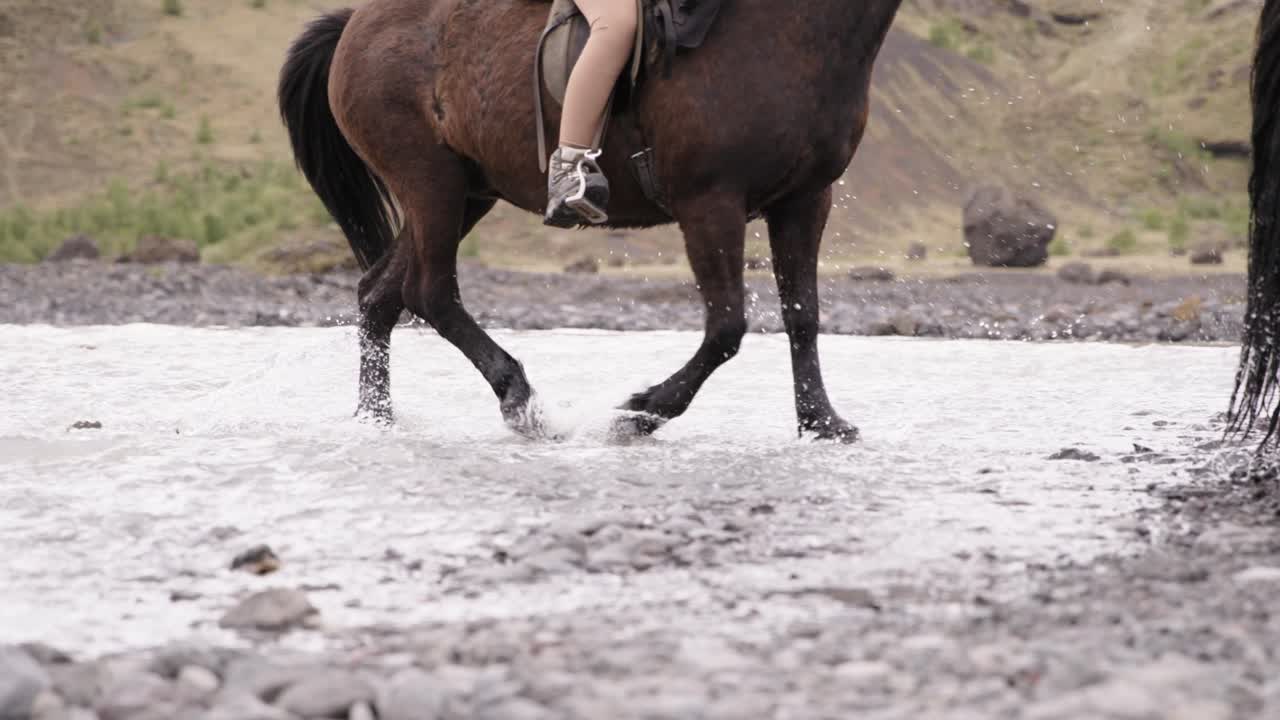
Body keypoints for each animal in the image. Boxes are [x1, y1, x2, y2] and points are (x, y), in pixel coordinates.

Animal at [277, 0, 899, 442]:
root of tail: (355, 23)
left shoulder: (806, 200)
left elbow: (802, 315)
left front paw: (821, 423)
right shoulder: (710, 202)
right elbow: (726, 328)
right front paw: (640, 413)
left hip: (467, 192)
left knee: (380, 294)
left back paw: (376, 419)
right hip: (429, 182)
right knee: (429, 292)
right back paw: (521, 399)